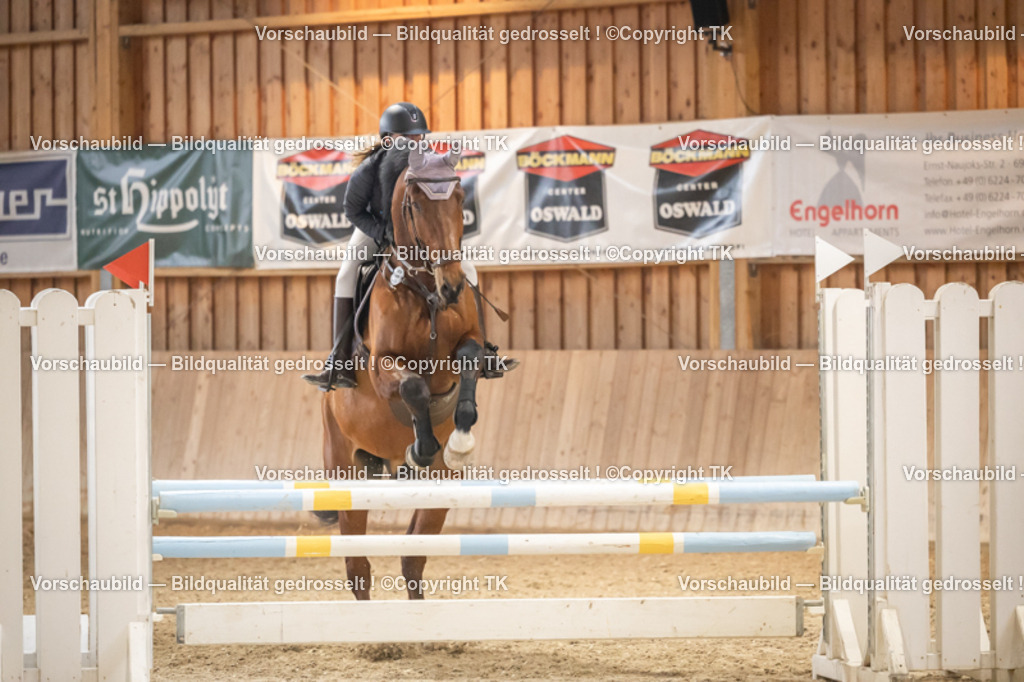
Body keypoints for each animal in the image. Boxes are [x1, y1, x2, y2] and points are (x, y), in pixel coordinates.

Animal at [319, 144, 484, 600]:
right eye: (416, 205)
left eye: (460, 199)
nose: (452, 287)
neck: (422, 290)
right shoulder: (382, 366)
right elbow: (412, 387)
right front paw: (421, 447)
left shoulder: (467, 342)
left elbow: (468, 365)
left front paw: (460, 440)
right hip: (345, 467)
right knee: (357, 566)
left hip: (436, 491)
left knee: (412, 556)